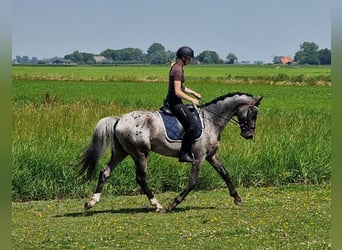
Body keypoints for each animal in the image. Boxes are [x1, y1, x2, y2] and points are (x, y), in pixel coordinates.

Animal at [77, 92, 264, 213]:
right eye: (252, 113)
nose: (249, 135)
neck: (212, 120)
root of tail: (119, 120)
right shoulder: (200, 157)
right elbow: (192, 182)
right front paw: (173, 204)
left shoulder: (211, 156)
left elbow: (225, 174)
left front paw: (237, 198)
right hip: (140, 154)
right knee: (141, 178)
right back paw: (158, 205)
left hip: (121, 152)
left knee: (105, 172)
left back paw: (91, 202)